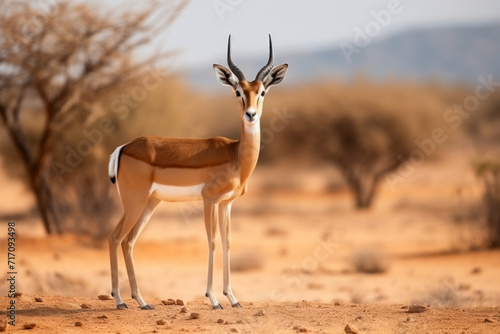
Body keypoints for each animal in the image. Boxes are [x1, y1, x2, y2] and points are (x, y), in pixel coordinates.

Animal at [108, 35, 290, 310]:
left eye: (262, 92)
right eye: (238, 91)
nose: (251, 114)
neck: (236, 155)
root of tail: (125, 146)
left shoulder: (226, 203)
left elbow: (227, 242)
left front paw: (233, 299)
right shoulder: (209, 200)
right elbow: (212, 242)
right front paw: (214, 300)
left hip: (150, 203)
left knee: (128, 241)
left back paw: (142, 301)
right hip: (134, 203)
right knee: (115, 238)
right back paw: (120, 300)